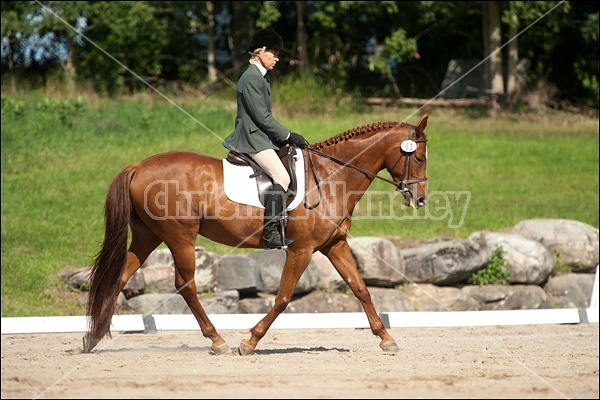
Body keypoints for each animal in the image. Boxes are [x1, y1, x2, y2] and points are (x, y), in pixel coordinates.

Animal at [84, 114, 428, 354]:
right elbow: (283, 297)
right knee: (186, 284)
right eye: (419, 157)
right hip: (181, 236)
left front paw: (386, 338)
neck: (331, 177)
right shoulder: (301, 249)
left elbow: (361, 289)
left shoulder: (334, 245)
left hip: (148, 237)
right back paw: (217, 340)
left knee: (120, 277)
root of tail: (139, 166)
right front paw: (249, 341)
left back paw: (94, 338)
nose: (420, 199)